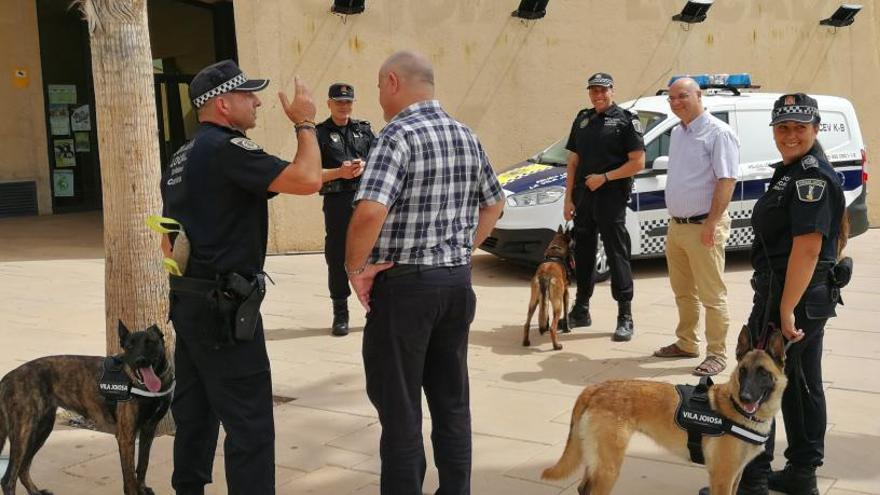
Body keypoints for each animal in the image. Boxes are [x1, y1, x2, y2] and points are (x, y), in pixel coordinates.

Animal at [0, 322, 172, 495]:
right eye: (130, 346)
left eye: (151, 342)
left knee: (23, 468)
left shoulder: (148, 430)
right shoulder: (126, 436)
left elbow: (143, 464)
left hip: (41, 429)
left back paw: (35, 491)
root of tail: (7, 378)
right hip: (24, 432)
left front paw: (142, 488)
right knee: (8, 479)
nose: (140, 361)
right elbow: (129, 476)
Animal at [540, 326, 788, 495]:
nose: (745, 397)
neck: (738, 411)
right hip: (608, 468)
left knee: (583, 488)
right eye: (743, 371)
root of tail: (595, 388)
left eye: (763, 373)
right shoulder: (722, 478)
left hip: (598, 462)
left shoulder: (734, 477)